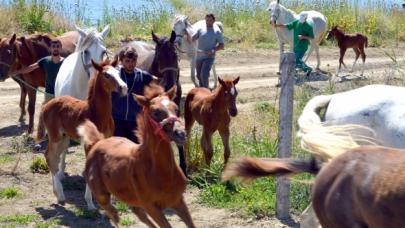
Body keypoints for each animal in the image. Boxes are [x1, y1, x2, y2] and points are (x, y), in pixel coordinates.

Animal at [37, 58, 128, 205]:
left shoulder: (105, 140)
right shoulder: (88, 143)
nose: (124, 87)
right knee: (49, 156)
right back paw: (60, 195)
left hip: (64, 137)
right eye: (106, 75)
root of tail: (46, 105)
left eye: (118, 73)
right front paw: (90, 202)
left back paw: (57, 192)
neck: (96, 113)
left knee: (53, 157)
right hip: (55, 136)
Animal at [77, 83, 196, 228]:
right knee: (114, 214)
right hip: (102, 197)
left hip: (130, 198)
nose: (181, 134)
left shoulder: (178, 200)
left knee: (138, 214)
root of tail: (97, 142)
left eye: (176, 108)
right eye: (155, 112)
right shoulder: (151, 207)